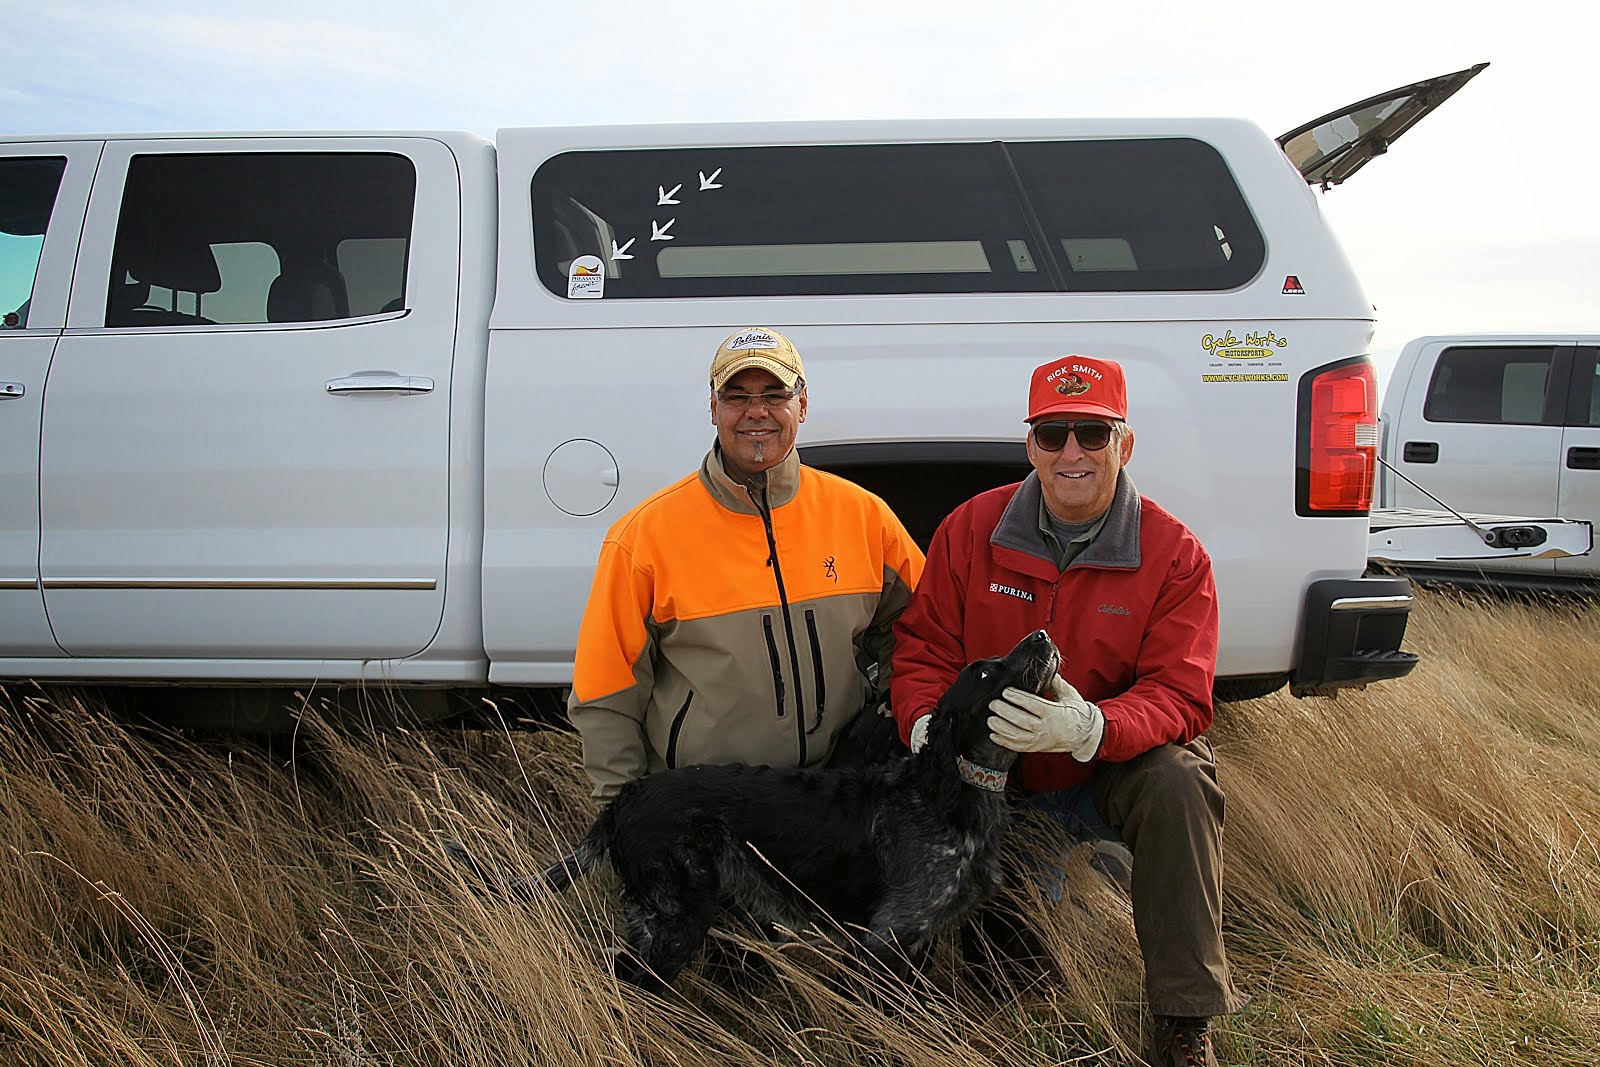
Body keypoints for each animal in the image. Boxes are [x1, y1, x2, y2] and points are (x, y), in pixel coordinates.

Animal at [448, 630, 1062, 991]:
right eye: (984, 672)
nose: (1039, 634)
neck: (947, 790)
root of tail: (623, 801)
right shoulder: (887, 936)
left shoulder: (921, 935)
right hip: (675, 918)